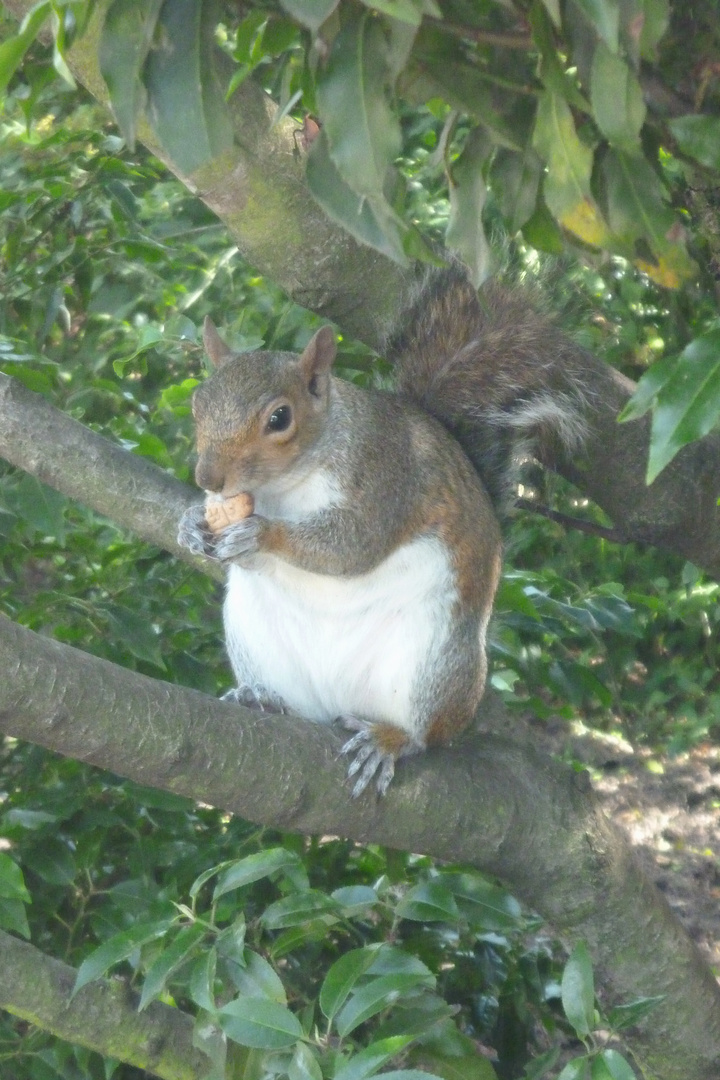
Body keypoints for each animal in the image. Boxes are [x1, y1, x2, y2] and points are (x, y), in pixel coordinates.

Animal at [175, 266, 591, 799]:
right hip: (254, 634)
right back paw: (261, 699)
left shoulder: (385, 479)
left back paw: (389, 740)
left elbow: (351, 546)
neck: (290, 482)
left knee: (425, 734)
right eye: (197, 403)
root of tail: (338, 703)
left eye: (279, 417)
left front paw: (261, 533)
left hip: (433, 660)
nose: (208, 479)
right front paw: (190, 525)